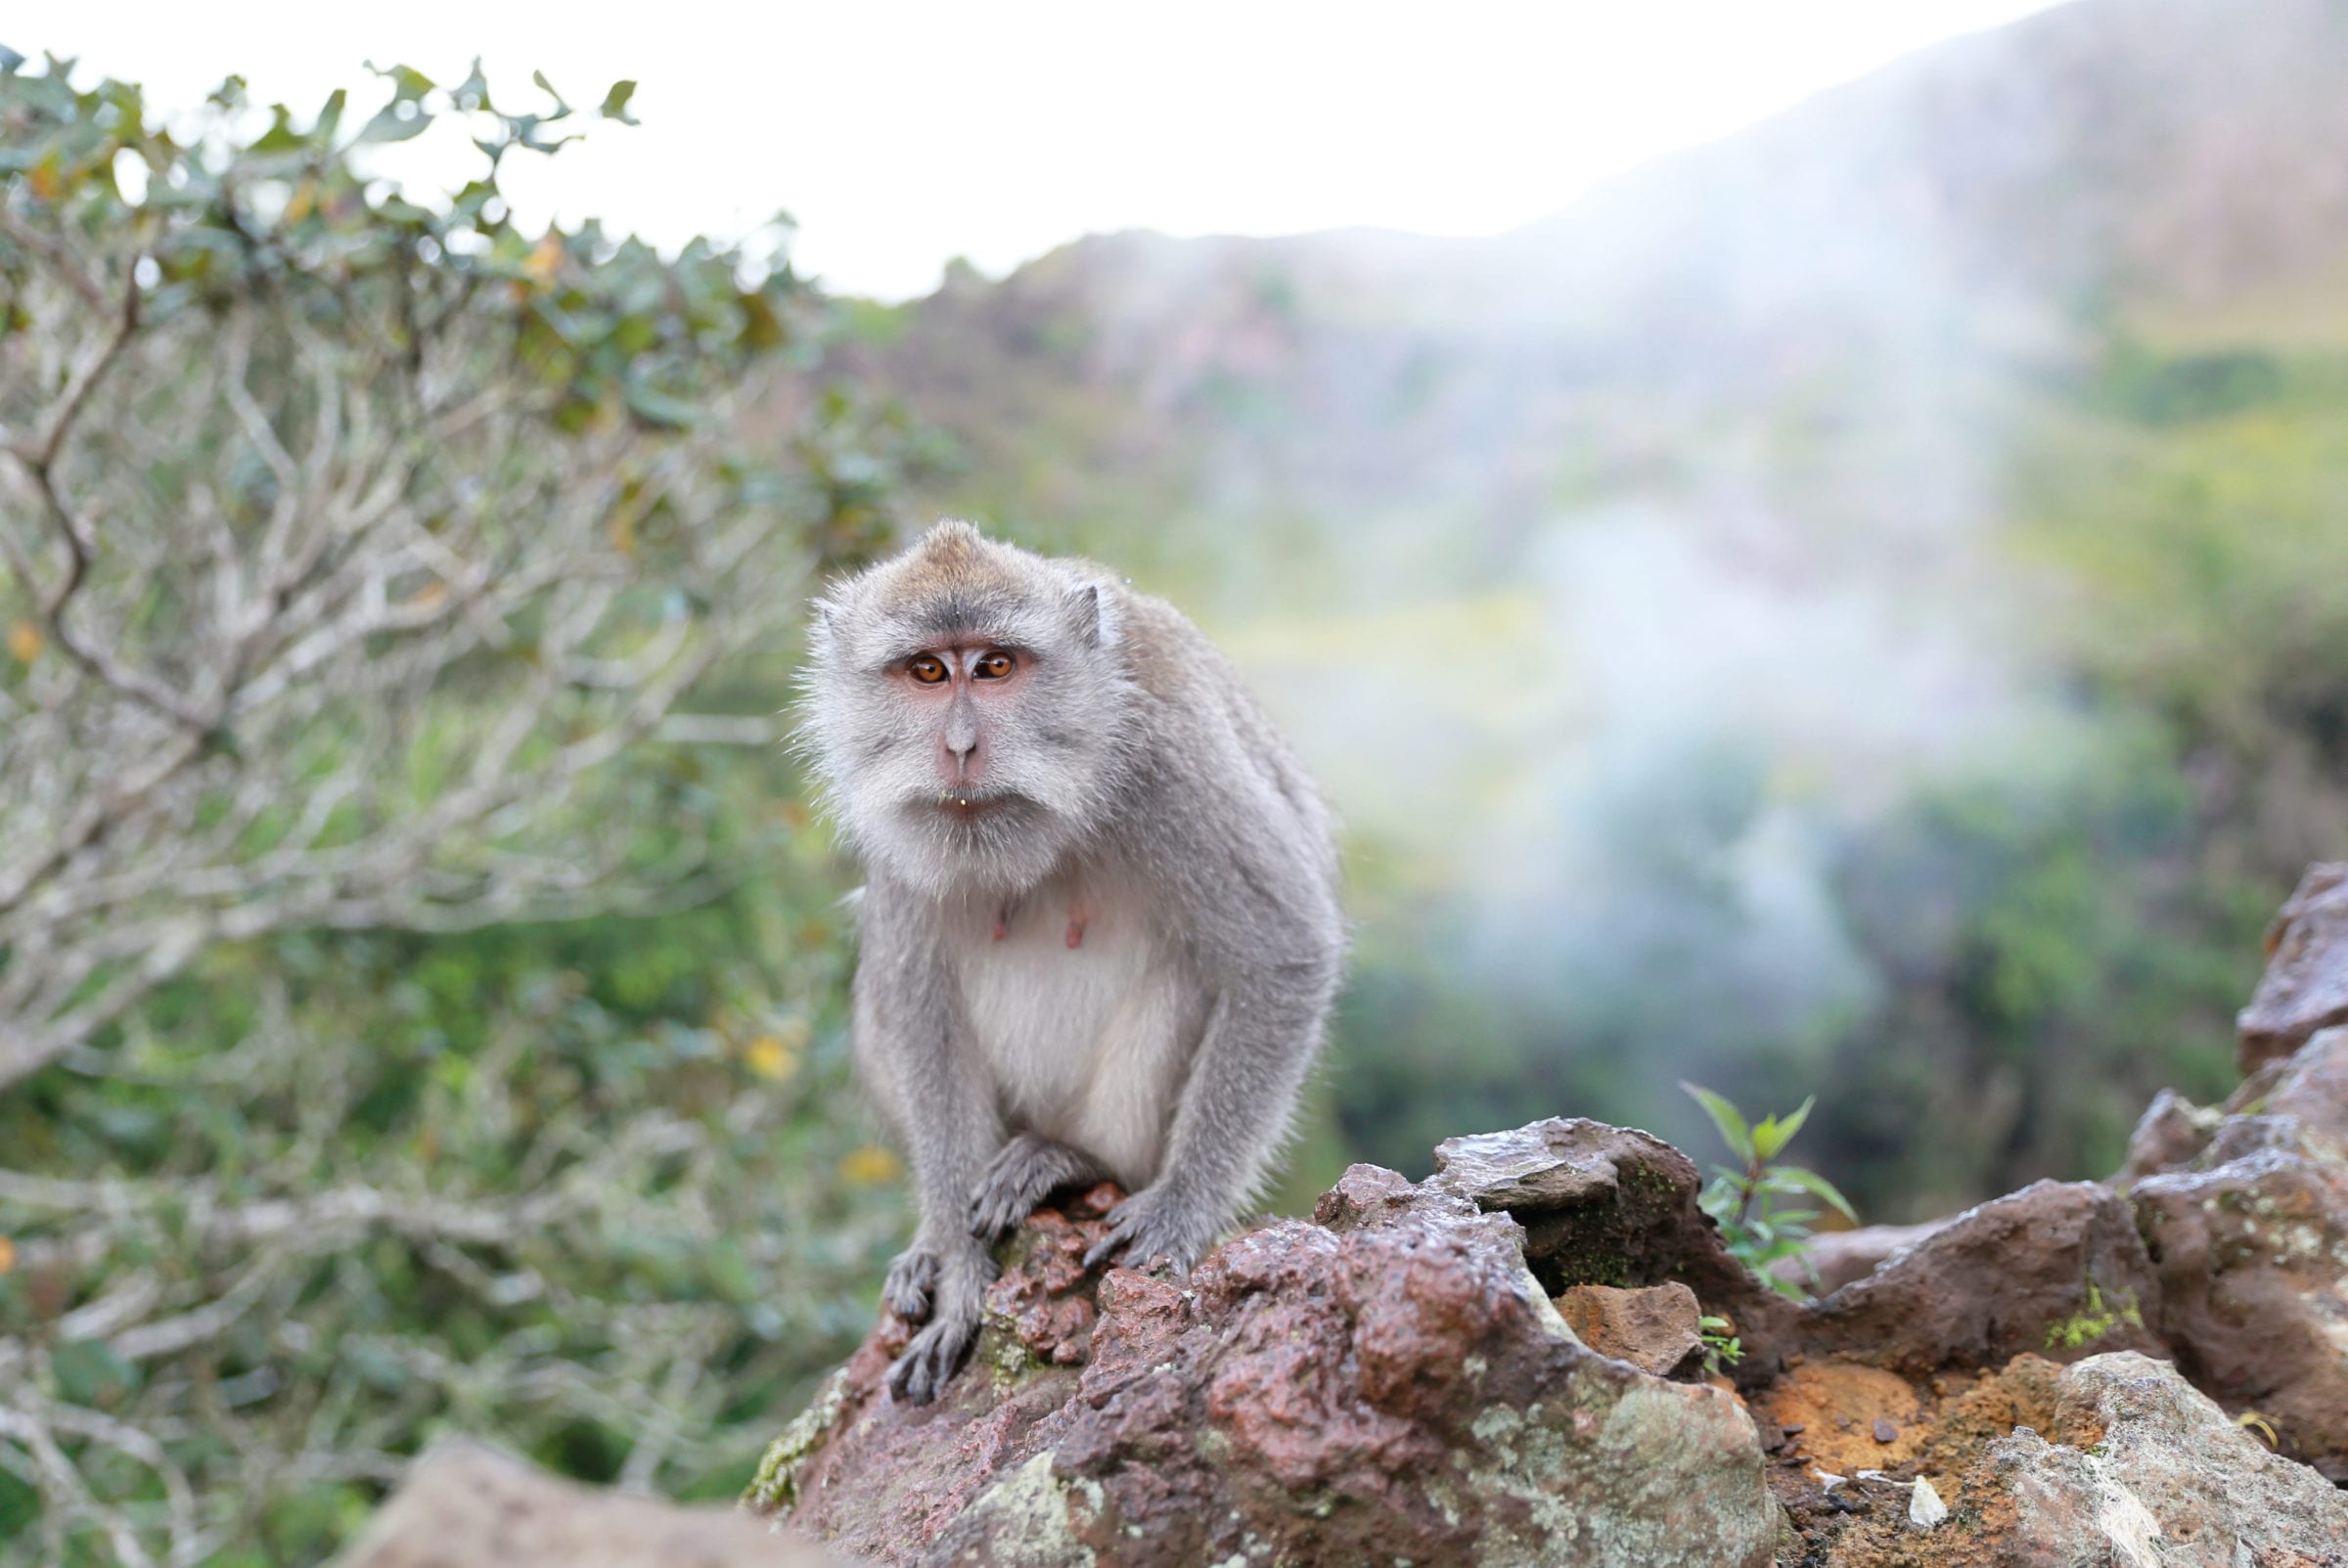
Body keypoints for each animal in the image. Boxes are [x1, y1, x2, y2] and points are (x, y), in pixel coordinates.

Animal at [802, 520, 1342, 1399]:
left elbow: (1283, 950)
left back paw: (1071, 1160)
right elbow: (917, 1006)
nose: (960, 746)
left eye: (996, 666)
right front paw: (960, 1270)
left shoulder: (1169, 760)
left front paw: (1182, 1206)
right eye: (928, 670)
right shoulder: (892, 819)